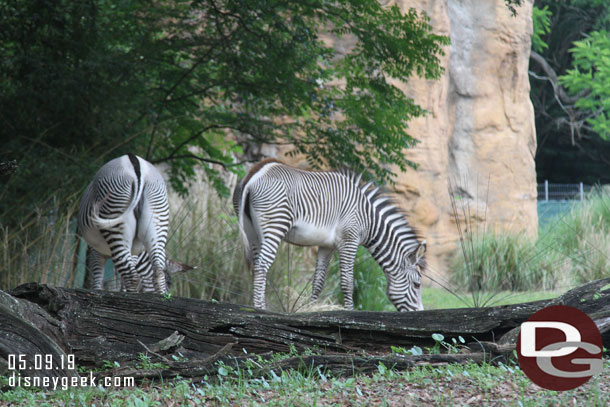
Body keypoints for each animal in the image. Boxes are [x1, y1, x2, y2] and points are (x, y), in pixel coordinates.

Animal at [78, 153, 171, 294]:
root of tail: (136, 164)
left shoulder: (95, 251)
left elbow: (98, 278)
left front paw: (98, 292)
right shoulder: (134, 251)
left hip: (114, 215)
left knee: (131, 275)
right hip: (157, 216)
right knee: (158, 271)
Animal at [230, 159, 426, 312]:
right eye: (417, 285)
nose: (419, 313)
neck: (368, 218)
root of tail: (254, 175)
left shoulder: (327, 246)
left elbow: (318, 282)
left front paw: (311, 309)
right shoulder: (349, 240)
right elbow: (347, 281)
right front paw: (349, 311)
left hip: (252, 233)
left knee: (256, 265)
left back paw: (257, 306)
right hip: (275, 226)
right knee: (262, 265)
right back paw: (260, 309)